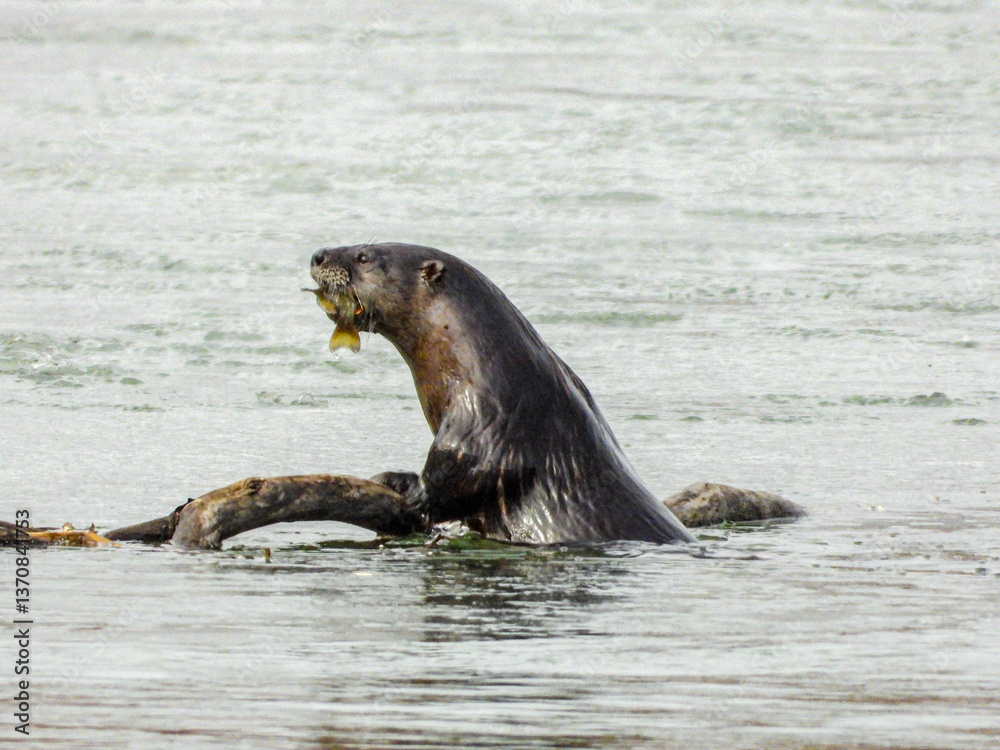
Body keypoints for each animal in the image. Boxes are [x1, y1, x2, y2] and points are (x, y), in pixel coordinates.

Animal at [309, 243, 696, 545]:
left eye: (364, 256)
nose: (317, 255)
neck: (480, 363)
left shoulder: (487, 420)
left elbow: (464, 471)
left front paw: (410, 492)